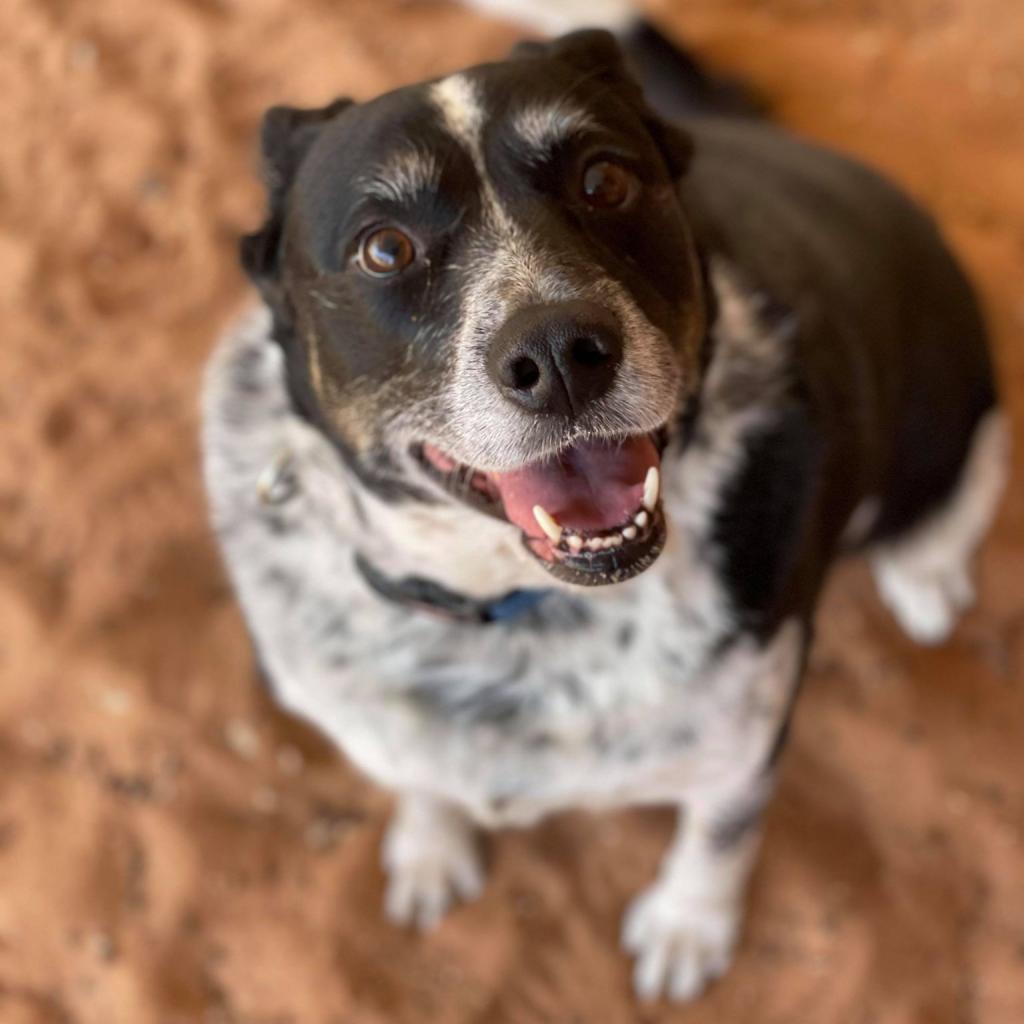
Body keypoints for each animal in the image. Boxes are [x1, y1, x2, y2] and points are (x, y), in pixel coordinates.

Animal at [201, 2, 1007, 999]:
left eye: (606, 179)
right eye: (384, 247)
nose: (558, 354)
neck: (510, 611)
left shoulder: (748, 732)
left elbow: (719, 835)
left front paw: (687, 929)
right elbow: (419, 773)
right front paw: (430, 846)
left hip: (942, 417)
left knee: (967, 476)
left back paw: (926, 573)